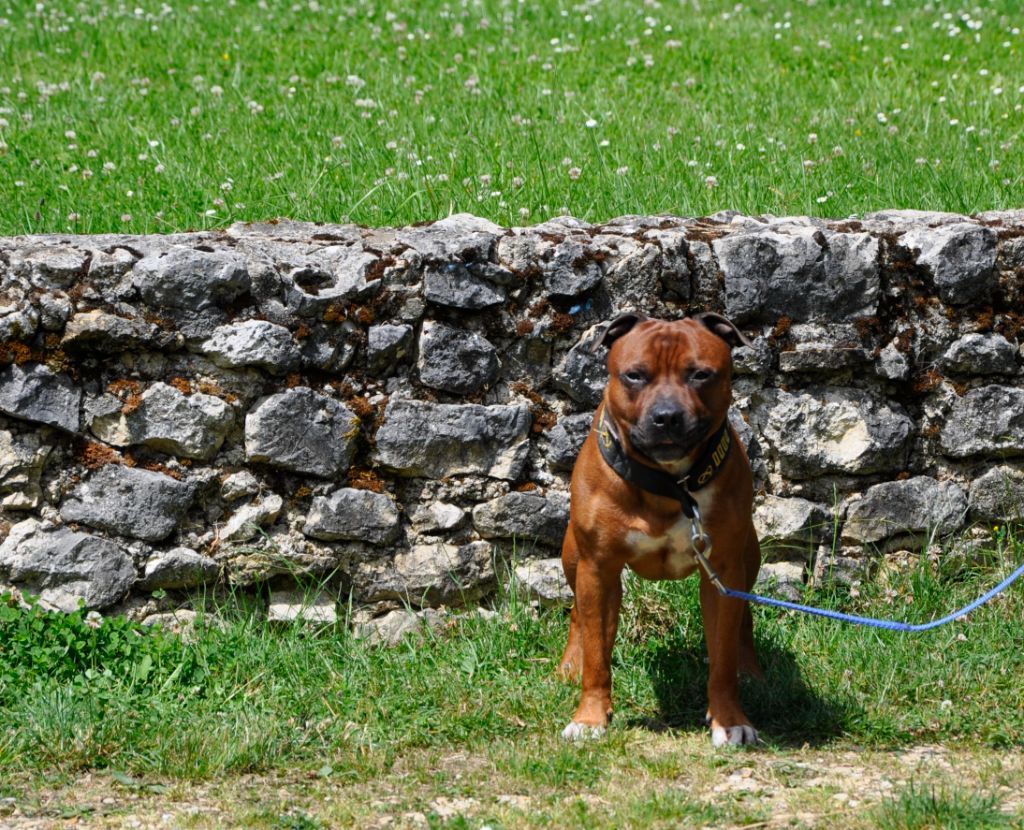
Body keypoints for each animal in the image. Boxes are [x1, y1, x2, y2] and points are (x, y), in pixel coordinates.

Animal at [558, 312, 762, 747]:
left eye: (700, 374)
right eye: (635, 375)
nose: (667, 416)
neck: (670, 485)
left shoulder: (723, 569)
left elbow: (722, 656)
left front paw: (729, 719)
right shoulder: (597, 569)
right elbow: (598, 653)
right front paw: (590, 717)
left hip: (747, 560)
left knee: (744, 620)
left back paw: (751, 672)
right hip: (574, 558)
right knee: (579, 615)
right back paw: (570, 666)